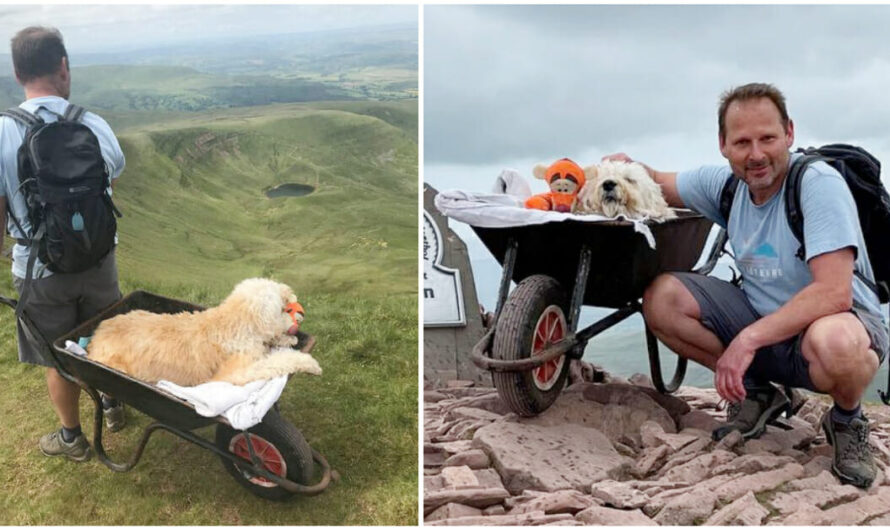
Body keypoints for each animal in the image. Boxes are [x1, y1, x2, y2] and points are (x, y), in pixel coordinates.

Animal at [86, 278, 320, 386]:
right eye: (284, 308)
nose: (301, 311)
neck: (236, 323)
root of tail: (95, 336)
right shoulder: (234, 374)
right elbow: (278, 361)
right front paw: (310, 364)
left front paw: (289, 341)